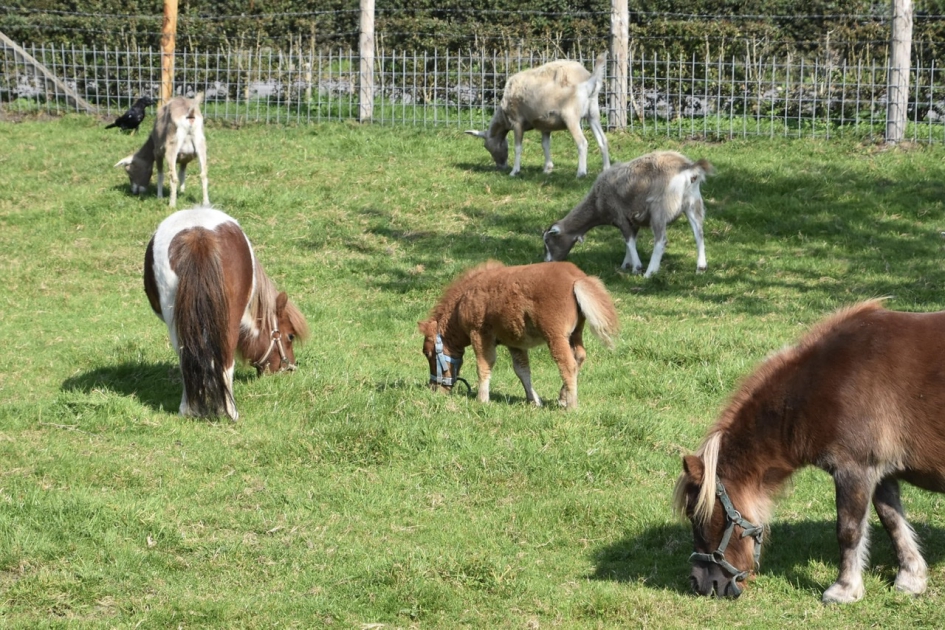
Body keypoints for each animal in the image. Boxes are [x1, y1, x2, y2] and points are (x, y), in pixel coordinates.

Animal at [143, 206, 309, 421]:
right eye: (290, 336)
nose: (289, 369)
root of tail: (199, 237)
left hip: (177, 322)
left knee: (186, 361)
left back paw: (188, 410)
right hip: (228, 322)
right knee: (226, 362)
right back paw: (230, 413)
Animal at [418, 261, 618, 409]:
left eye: (428, 353)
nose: (434, 388)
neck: (462, 302)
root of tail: (576, 278)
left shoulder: (480, 334)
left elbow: (484, 365)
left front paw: (482, 399)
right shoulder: (514, 343)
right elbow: (522, 370)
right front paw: (534, 401)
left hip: (556, 337)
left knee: (567, 365)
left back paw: (571, 405)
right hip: (575, 334)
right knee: (580, 356)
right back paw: (562, 397)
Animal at [673, 299, 945, 603]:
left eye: (695, 516)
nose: (700, 583)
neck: (824, 381)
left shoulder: (854, 469)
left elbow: (849, 530)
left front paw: (844, 589)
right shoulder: (881, 472)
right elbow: (892, 521)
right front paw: (910, 578)